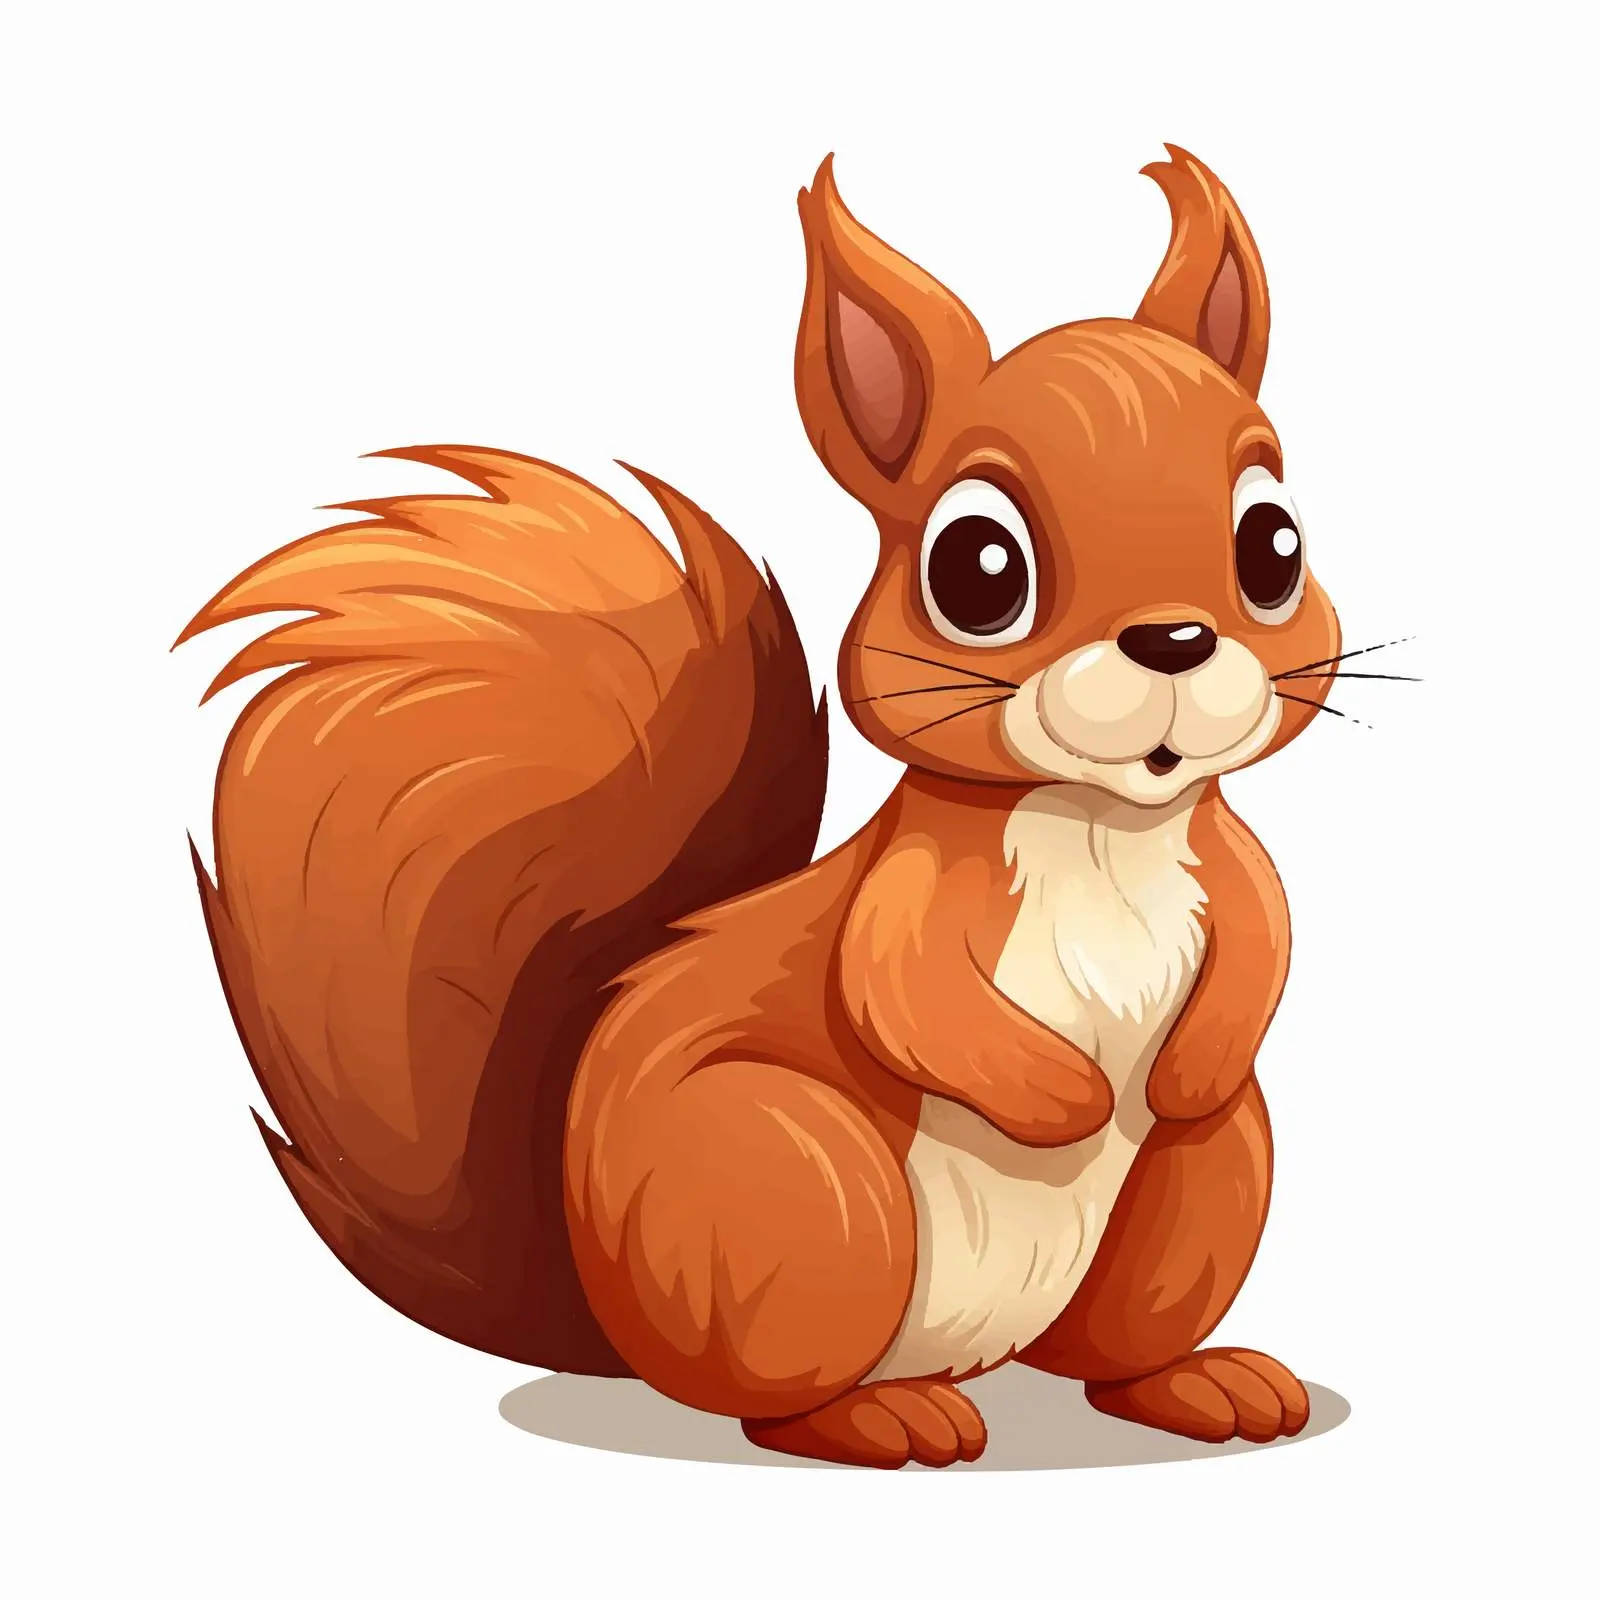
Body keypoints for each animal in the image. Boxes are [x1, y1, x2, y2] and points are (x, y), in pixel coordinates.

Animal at [180, 146, 1341, 1469]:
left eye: (1273, 542)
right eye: (976, 569)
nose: (1174, 640)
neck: (1101, 824)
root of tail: (618, 1330)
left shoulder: (1227, 858)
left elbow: (1266, 939)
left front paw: (1187, 1065)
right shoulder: (907, 896)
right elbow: (897, 996)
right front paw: (1068, 1100)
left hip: (1191, 1197)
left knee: (1117, 1343)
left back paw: (1202, 1380)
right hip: (801, 1186)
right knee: (773, 1401)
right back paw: (885, 1413)